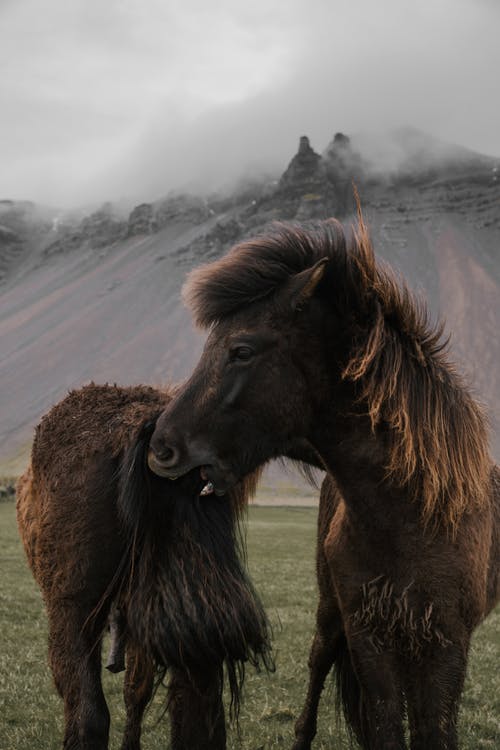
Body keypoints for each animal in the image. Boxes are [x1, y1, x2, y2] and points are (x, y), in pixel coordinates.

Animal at [146, 216, 500, 748]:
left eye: (241, 350)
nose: (162, 448)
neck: (412, 515)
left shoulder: (446, 644)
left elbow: (432, 730)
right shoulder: (368, 638)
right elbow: (385, 726)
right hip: (329, 616)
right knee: (314, 680)